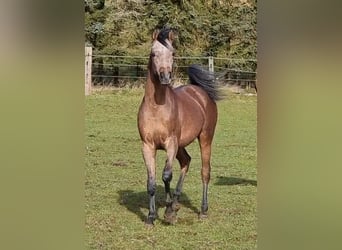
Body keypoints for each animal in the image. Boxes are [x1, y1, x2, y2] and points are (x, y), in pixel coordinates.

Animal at [137, 27, 222, 227]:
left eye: (173, 53)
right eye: (153, 53)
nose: (165, 77)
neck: (157, 108)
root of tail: (200, 92)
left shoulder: (170, 143)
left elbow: (166, 175)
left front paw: (168, 212)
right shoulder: (148, 146)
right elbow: (151, 182)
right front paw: (151, 217)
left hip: (205, 138)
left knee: (205, 172)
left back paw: (202, 210)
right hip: (182, 145)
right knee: (186, 161)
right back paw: (176, 203)